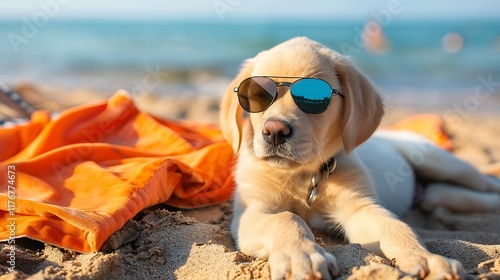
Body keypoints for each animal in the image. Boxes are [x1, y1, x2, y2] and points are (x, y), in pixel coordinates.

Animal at [219, 37, 500, 280]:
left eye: (315, 98)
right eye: (257, 95)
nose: (275, 132)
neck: (303, 175)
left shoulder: (359, 207)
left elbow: (397, 228)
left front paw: (426, 259)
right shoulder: (252, 210)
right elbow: (286, 218)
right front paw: (301, 256)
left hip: (444, 164)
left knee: (485, 183)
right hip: (441, 195)